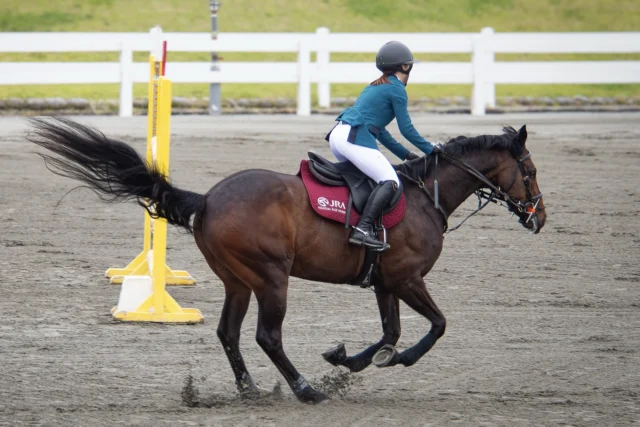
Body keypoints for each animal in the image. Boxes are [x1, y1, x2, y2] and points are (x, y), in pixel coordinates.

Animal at [26, 117, 546, 404]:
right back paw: (305, 390)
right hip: (272, 278)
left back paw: (250, 390)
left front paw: (351, 359)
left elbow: (390, 332)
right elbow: (435, 326)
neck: (425, 196)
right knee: (267, 336)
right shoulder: (408, 278)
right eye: (531, 170)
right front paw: (389, 361)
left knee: (229, 333)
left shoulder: (386, 282)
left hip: (239, 281)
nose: (540, 218)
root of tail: (209, 198)